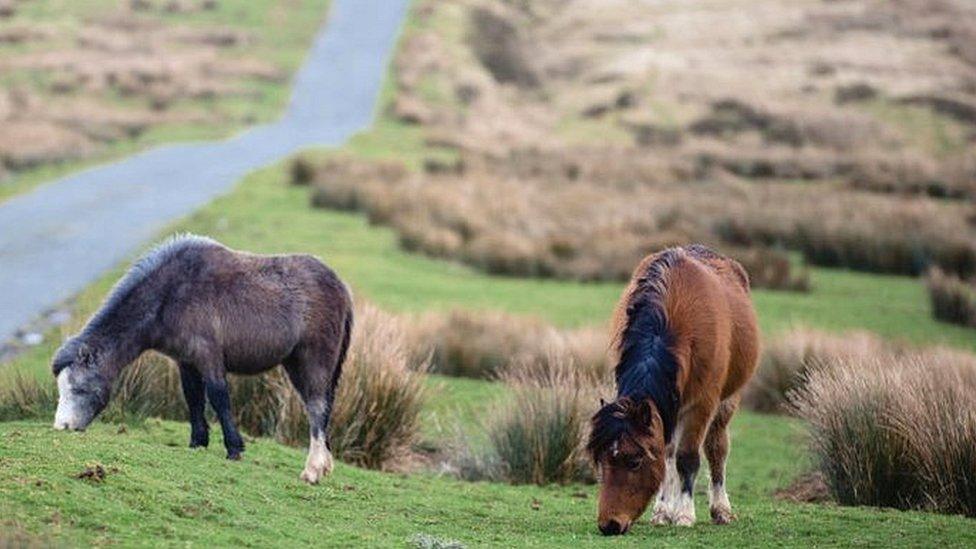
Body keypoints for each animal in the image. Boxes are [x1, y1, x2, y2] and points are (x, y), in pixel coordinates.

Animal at [52, 233, 350, 482]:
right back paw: (324, 464)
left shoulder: (208, 357)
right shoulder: (186, 362)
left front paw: (234, 448)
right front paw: (198, 442)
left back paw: (313, 470)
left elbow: (218, 397)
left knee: (316, 408)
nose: (62, 426)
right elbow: (193, 398)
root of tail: (341, 288)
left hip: (311, 362)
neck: (171, 294)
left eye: (79, 389)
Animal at [584, 245, 760, 536]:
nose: (609, 525)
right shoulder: (664, 408)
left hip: (727, 402)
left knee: (717, 448)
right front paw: (663, 511)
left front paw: (685, 515)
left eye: (634, 461)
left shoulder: (701, 405)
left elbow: (687, 458)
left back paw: (720, 508)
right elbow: (665, 458)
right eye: (602, 460)